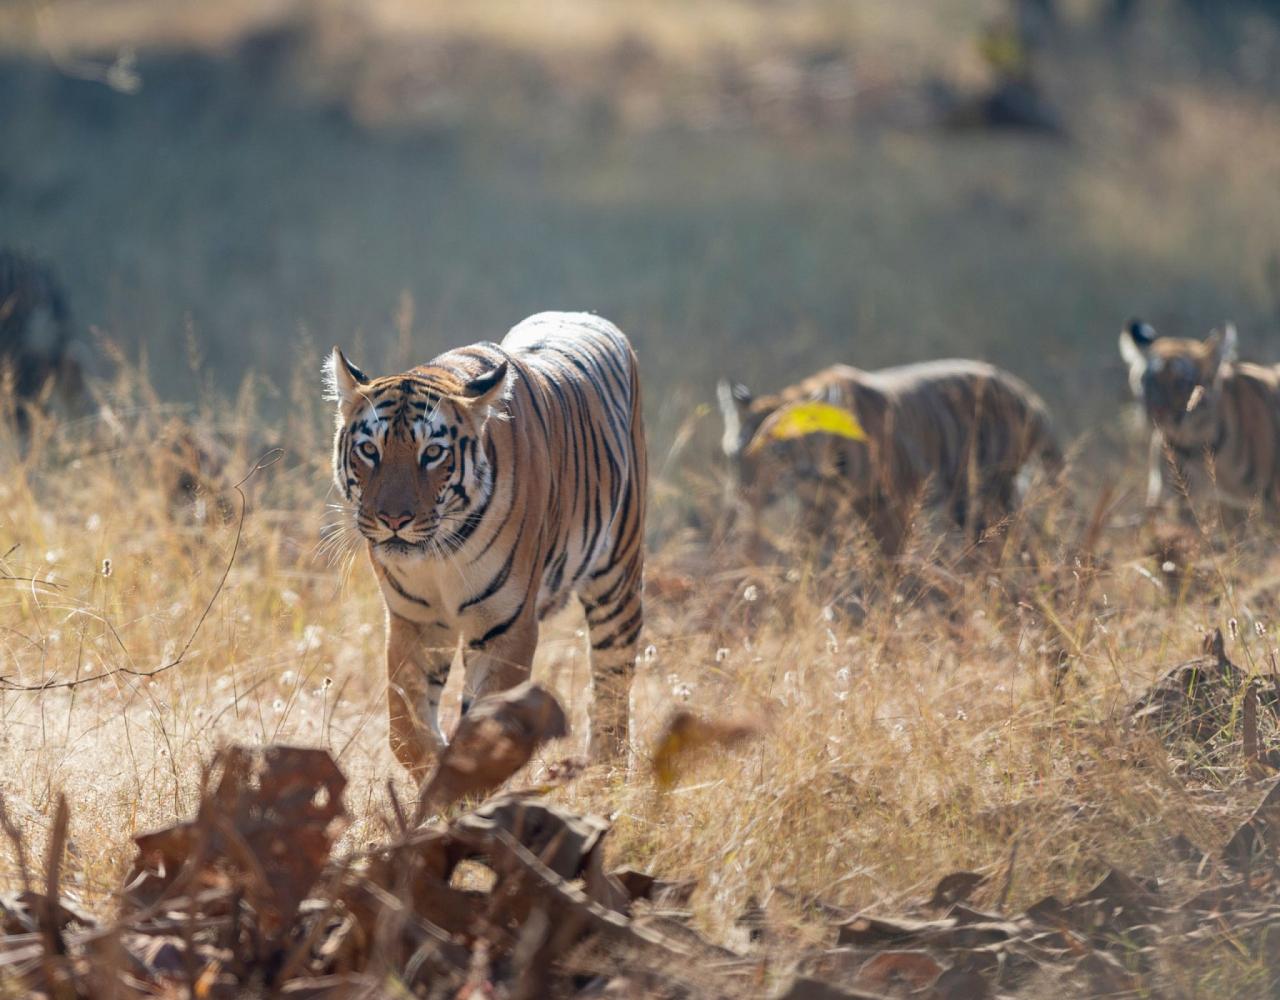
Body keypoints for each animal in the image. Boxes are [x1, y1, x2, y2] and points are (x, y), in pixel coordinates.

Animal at [325, 308, 645, 778]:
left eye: (432, 453)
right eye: (369, 450)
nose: (393, 519)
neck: (438, 555)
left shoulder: (505, 627)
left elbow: (484, 738)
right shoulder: (415, 620)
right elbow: (405, 732)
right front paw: (434, 765)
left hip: (617, 582)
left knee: (612, 688)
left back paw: (606, 774)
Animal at [721, 358, 1059, 558]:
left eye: (775, 455)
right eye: (736, 456)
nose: (745, 494)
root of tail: (1032, 399)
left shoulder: (897, 501)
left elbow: (890, 558)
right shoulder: (819, 511)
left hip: (988, 493)